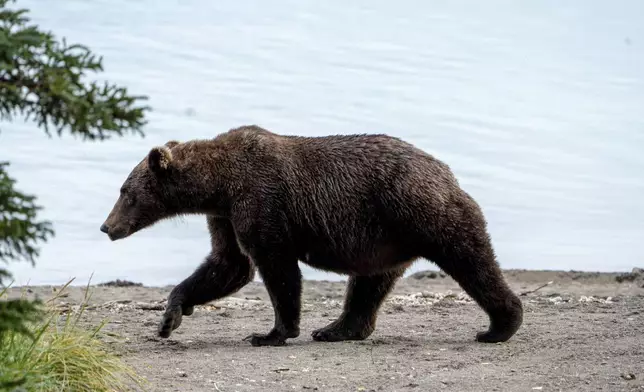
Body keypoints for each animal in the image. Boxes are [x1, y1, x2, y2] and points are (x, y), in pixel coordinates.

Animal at [100, 125, 524, 346]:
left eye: (125, 192)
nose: (107, 227)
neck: (218, 185)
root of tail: (447, 172)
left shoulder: (261, 200)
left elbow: (275, 267)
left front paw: (272, 332)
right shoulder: (225, 215)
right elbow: (228, 264)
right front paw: (170, 316)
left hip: (421, 211)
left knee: (470, 258)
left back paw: (499, 325)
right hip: (384, 238)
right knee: (368, 285)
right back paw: (337, 329)